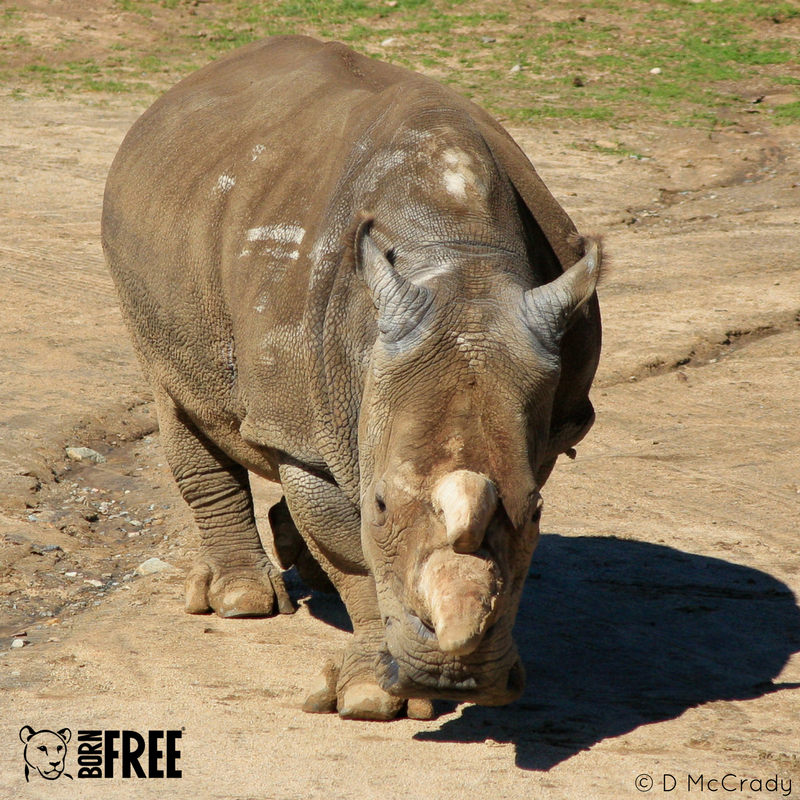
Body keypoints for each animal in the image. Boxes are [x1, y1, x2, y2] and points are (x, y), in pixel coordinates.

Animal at [102, 35, 602, 721]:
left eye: (537, 513)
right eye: (382, 504)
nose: (456, 680)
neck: (461, 260)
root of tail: (178, 91)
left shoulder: (550, 406)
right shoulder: (300, 425)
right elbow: (353, 550)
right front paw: (372, 697)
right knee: (177, 398)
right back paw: (240, 602)